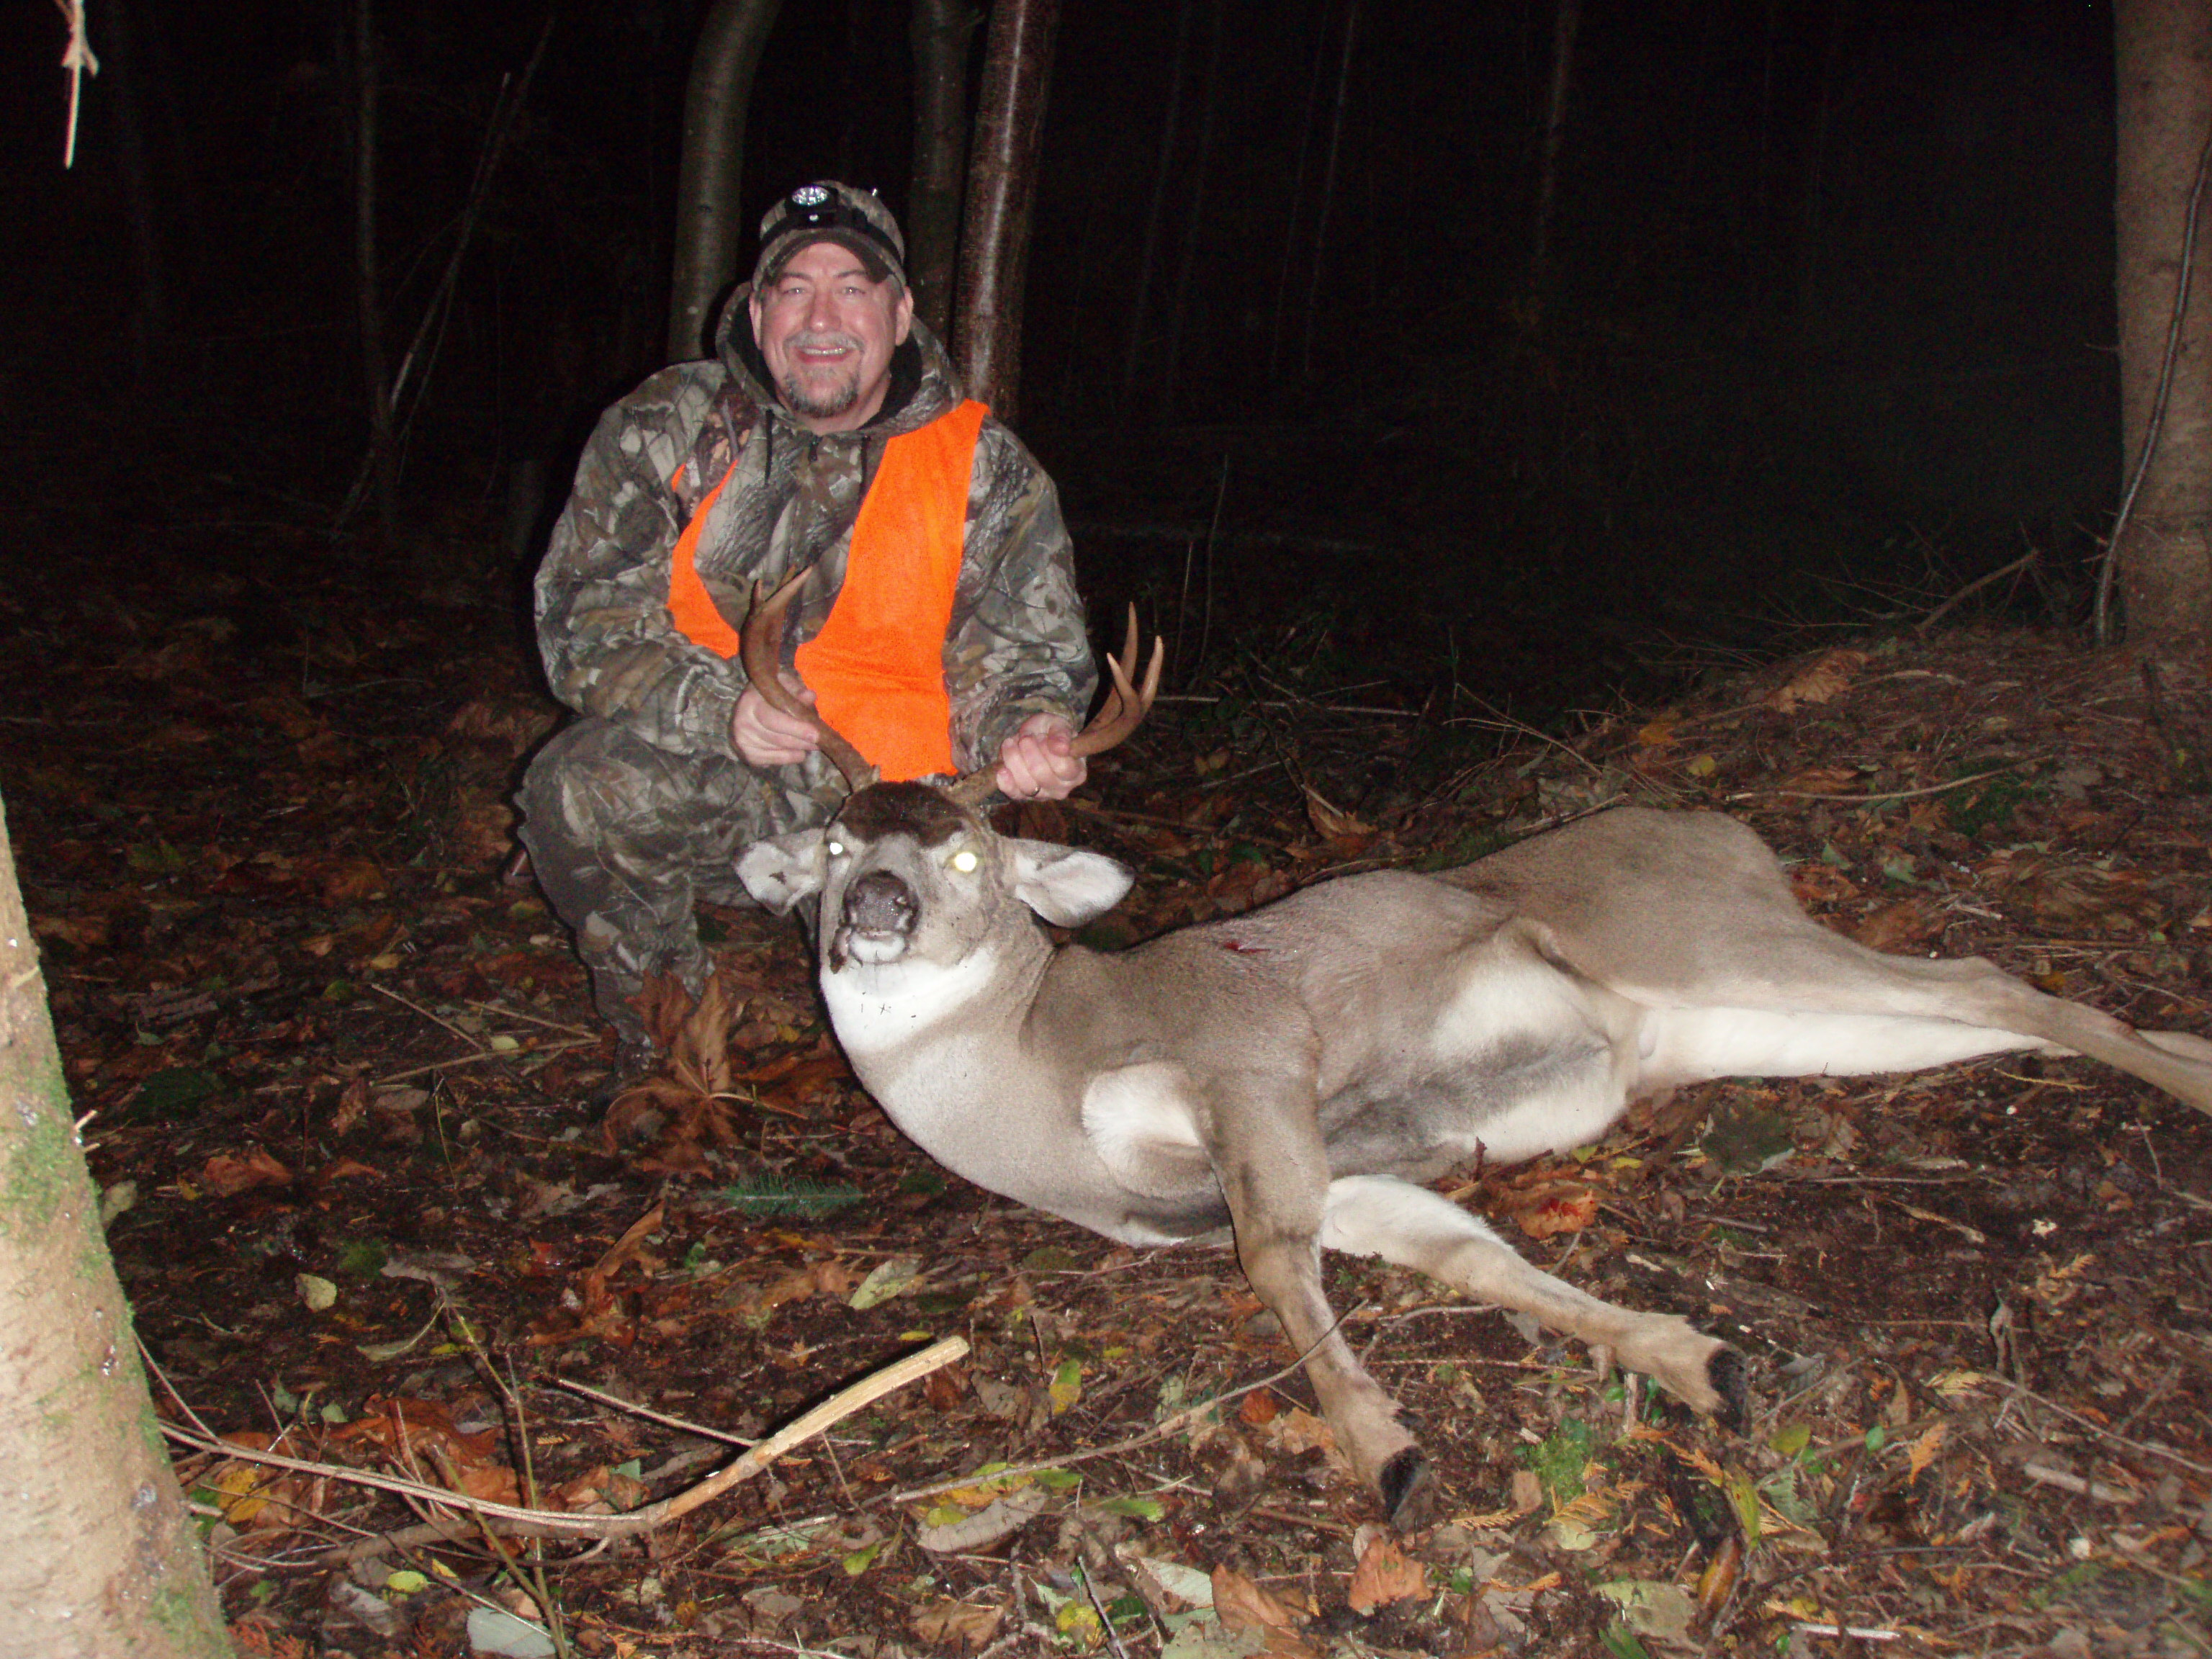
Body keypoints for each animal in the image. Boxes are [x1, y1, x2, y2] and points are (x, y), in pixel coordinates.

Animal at [730, 572, 2212, 1521]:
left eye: (969, 855)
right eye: (840, 845)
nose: (875, 909)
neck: (1041, 1079)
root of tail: (1731, 833)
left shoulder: (1248, 1056)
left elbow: (1275, 1260)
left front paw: (1382, 1449)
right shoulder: (1324, 1171)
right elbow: (1466, 1252)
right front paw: (1692, 1356)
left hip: (1704, 937)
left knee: (1998, 976)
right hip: (1737, 1022)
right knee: (1981, 1006)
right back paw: (2183, 1046)